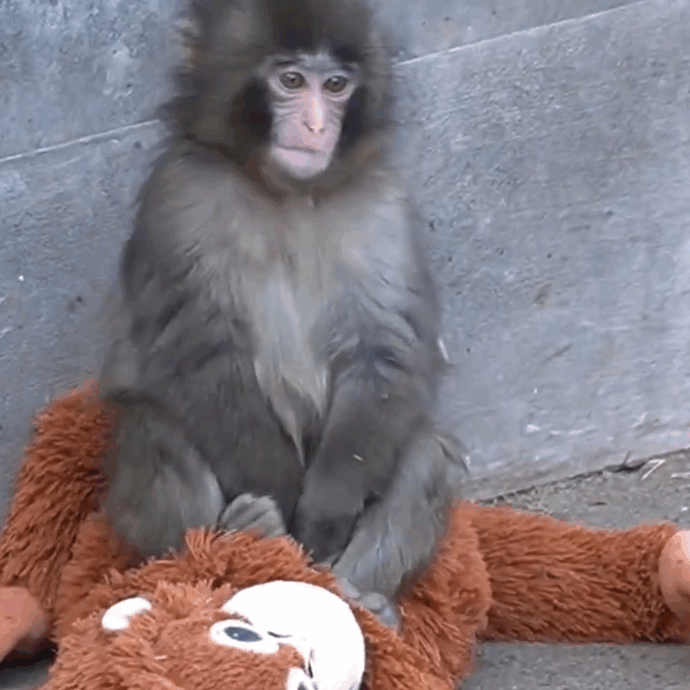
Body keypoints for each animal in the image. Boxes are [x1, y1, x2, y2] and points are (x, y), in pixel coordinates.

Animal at [99, 0, 467, 626]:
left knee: (426, 451)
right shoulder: (180, 201)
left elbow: (382, 350)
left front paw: (323, 513)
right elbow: (203, 352)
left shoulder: (382, 204)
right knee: (153, 430)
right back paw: (235, 550)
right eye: (291, 81)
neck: (287, 193)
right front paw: (281, 511)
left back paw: (360, 599)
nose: (317, 126)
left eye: (336, 86)